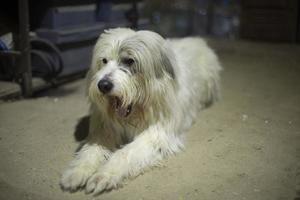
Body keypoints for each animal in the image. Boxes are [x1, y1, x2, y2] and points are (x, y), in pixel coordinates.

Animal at [59, 27, 221, 195]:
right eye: (104, 61)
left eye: (129, 61)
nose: (103, 85)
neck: (138, 111)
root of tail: (196, 39)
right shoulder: (104, 130)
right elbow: (91, 150)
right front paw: (78, 171)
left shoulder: (157, 133)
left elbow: (126, 152)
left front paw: (105, 174)